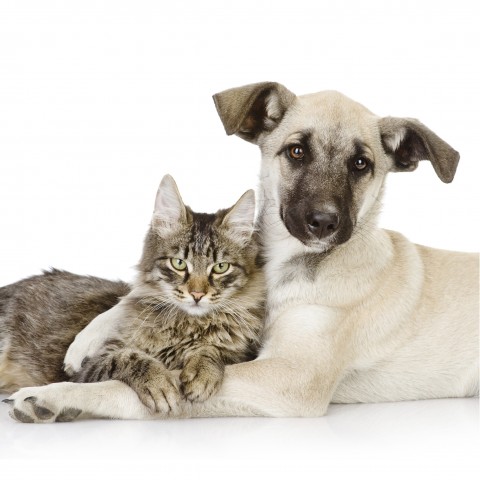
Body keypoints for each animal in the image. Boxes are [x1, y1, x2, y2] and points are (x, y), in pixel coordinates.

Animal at [0, 176, 264, 416]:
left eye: (220, 267)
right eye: (179, 263)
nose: (197, 294)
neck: (186, 326)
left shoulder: (240, 355)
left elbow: (212, 350)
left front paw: (203, 371)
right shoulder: (93, 364)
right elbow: (128, 358)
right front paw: (158, 383)